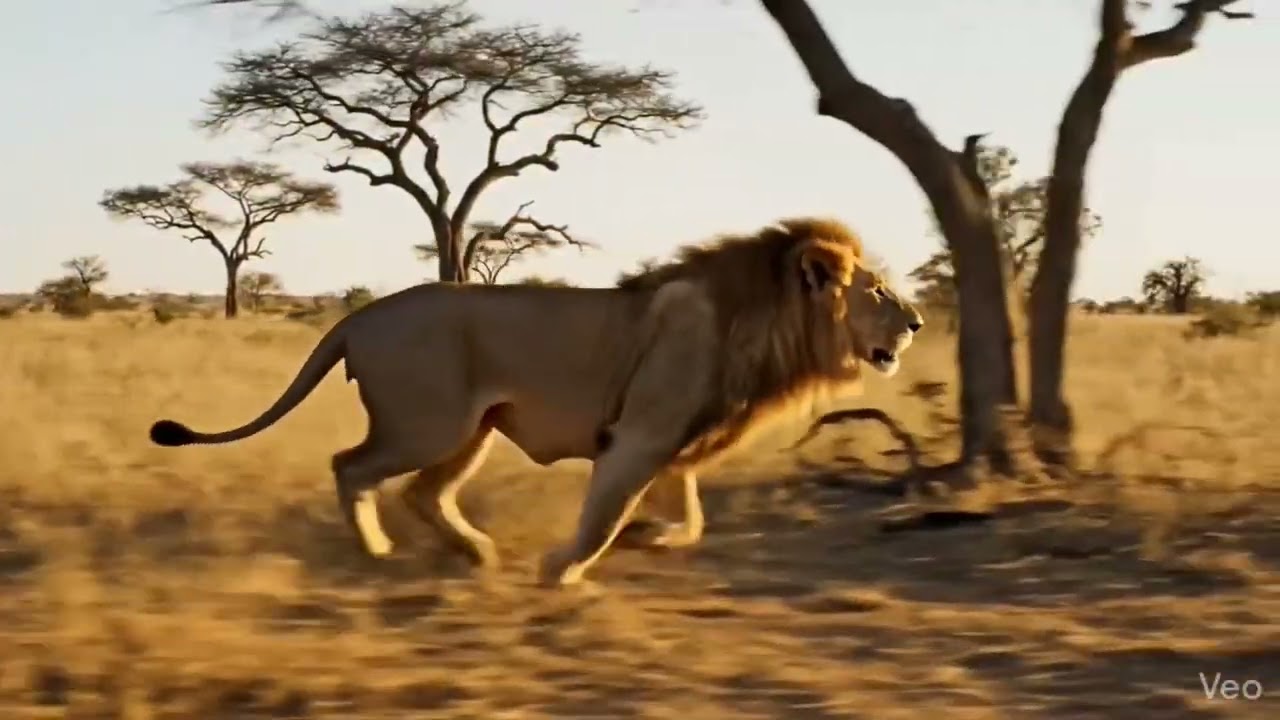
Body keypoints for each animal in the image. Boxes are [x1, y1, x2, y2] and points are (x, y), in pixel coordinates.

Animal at [148, 217, 924, 588]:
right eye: (879, 290)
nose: (916, 323)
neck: (760, 320)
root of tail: (359, 316)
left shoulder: (676, 451)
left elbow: (692, 522)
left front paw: (648, 537)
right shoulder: (638, 437)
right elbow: (603, 518)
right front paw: (563, 571)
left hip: (474, 428)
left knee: (423, 492)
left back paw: (477, 552)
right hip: (430, 424)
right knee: (351, 467)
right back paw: (378, 550)